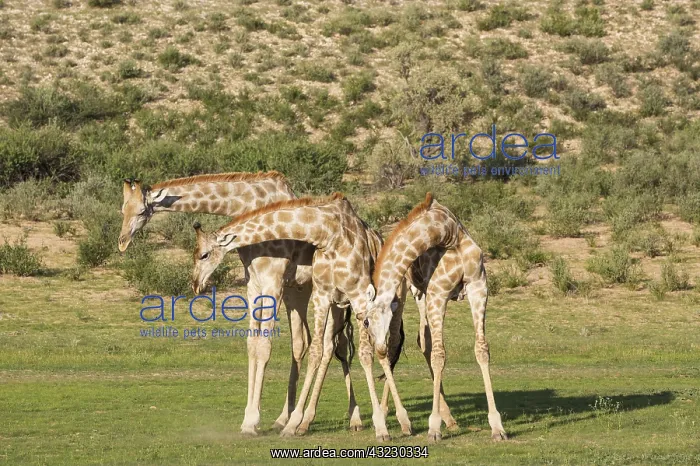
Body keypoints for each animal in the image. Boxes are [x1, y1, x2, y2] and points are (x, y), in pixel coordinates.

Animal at [118, 172, 361, 434]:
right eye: (122, 209)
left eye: (141, 211)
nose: (122, 242)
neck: (248, 204)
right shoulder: (254, 283)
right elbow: (252, 345)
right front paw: (249, 419)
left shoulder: (273, 281)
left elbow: (264, 346)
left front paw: (252, 420)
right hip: (298, 291)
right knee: (302, 342)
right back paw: (284, 418)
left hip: (330, 294)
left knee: (335, 346)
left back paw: (351, 419)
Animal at [191, 193, 412, 441]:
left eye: (204, 255)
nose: (195, 284)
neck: (329, 234)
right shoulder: (323, 295)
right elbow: (315, 351)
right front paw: (292, 423)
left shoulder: (358, 295)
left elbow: (367, 354)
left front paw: (381, 427)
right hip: (339, 306)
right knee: (336, 347)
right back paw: (334, 419)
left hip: (393, 301)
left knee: (387, 347)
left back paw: (400, 419)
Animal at [363, 192, 508, 443]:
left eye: (366, 321)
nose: (376, 348)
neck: (446, 232)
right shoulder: (439, 292)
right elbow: (440, 355)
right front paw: (433, 428)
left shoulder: (478, 285)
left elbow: (481, 349)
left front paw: (497, 427)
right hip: (404, 292)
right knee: (398, 345)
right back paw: (394, 419)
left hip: (421, 295)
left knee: (420, 342)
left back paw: (448, 418)